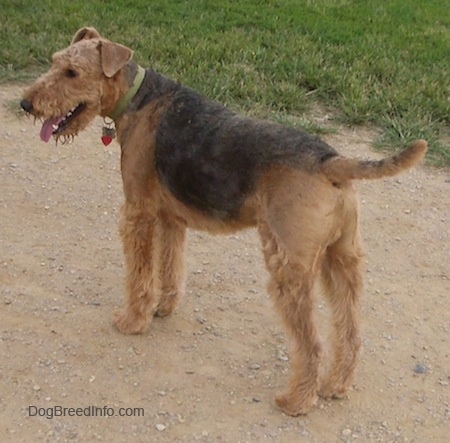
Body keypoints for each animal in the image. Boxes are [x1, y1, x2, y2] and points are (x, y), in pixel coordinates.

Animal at [21, 27, 428, 416]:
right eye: (54, 62)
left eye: (72, 72)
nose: (26, 103)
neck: (139, 99)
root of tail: (330, 160)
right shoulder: (170, 218)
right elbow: (170, 267)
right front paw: (163, 308)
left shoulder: (138, 213)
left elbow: (140, 274)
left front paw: (133, 320)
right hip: (341, 257)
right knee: (350, 332)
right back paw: (336, 386)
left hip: (290, 266)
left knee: (311, 344)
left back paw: (296, 401)